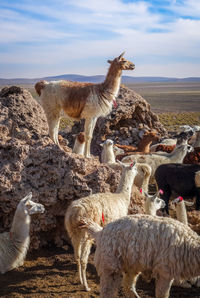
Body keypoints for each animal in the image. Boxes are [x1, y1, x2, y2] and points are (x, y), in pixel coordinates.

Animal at [64, 162, 138, 290]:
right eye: (135, 168)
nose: (137, 171)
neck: (121, 198)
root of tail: (75, 212)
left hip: (74, 233)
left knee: (77, 256)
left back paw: (80, 281)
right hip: (86, 233)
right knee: (83, 259)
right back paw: (86, 286)